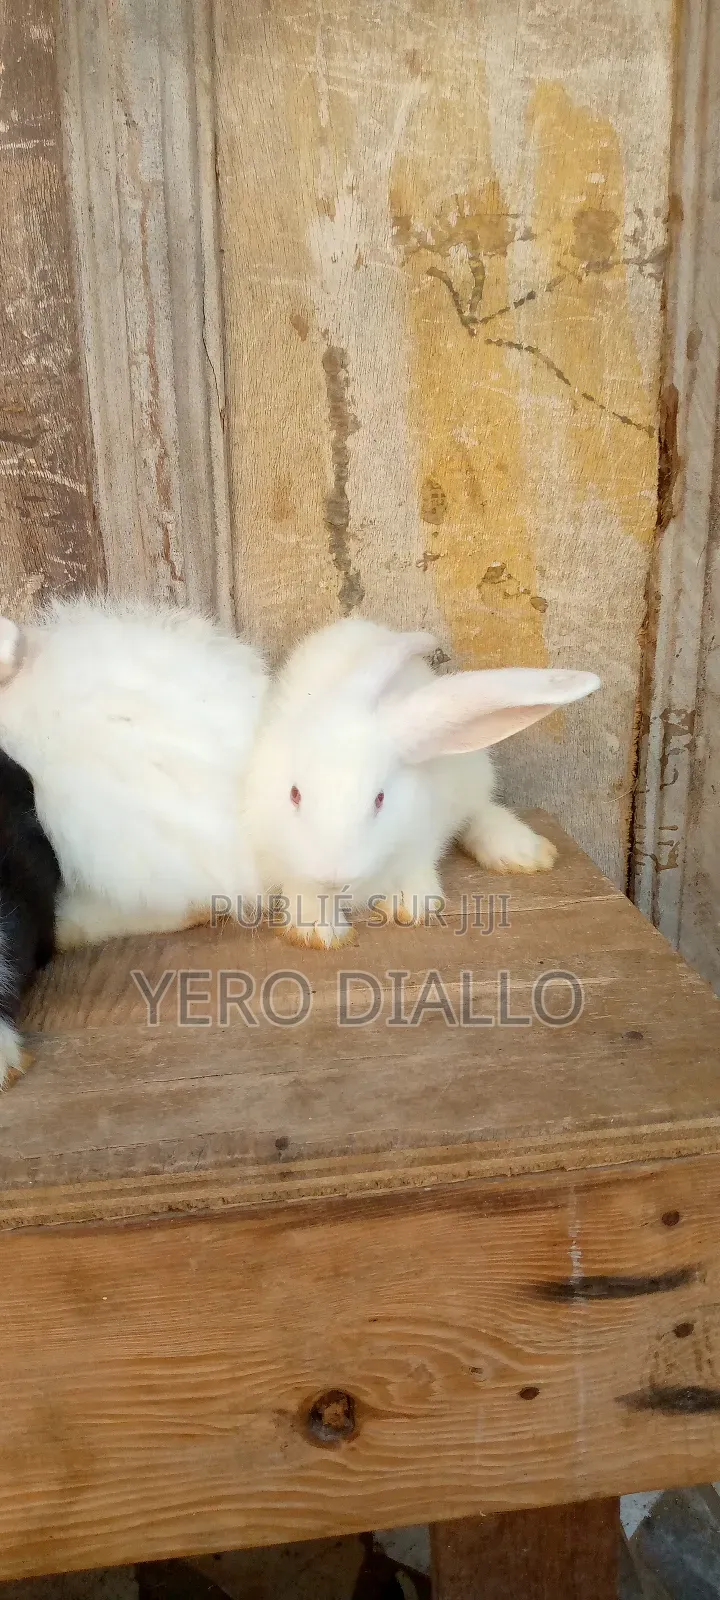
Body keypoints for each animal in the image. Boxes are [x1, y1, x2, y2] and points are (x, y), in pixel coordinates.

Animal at [246, 617, 601, 948]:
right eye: (294, 794)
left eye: (380, 799)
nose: (334, 875)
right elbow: (303, 890)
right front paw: (317, 932)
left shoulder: (423, 830)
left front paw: (410, 903)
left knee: (479, 810)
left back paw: (522, 852)